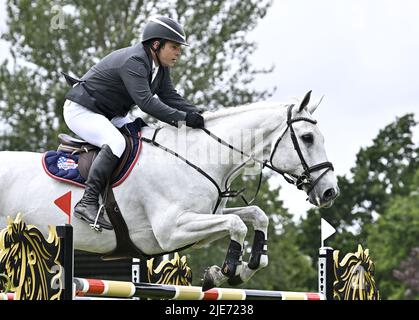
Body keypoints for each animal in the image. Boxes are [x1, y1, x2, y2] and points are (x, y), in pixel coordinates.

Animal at [0, 90, 338, 290]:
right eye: (307, 138)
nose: (330, 192)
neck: (198, 155)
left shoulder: (199, 223)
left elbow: (255, 215)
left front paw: (241, 268)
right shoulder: (171, 230)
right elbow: (237, 224)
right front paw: (228, 270)